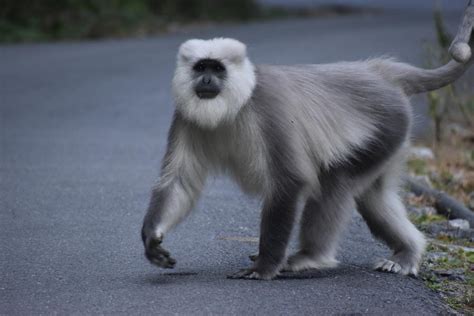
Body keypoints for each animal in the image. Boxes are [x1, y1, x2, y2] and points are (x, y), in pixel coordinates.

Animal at [141, 1, 474, 278]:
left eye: (217, 69)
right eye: (200, 68)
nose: (207, 80)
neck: (238, 103)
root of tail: (381, 72)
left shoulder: (269, 108)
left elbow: (290, 181)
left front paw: (264, 267)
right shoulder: (184, 117)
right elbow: (179, 183)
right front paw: (152, 239)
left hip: (389, 124)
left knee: (334, 181)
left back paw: (311, 257)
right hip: (391, 139)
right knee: (372, 197)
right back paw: (407, 254)